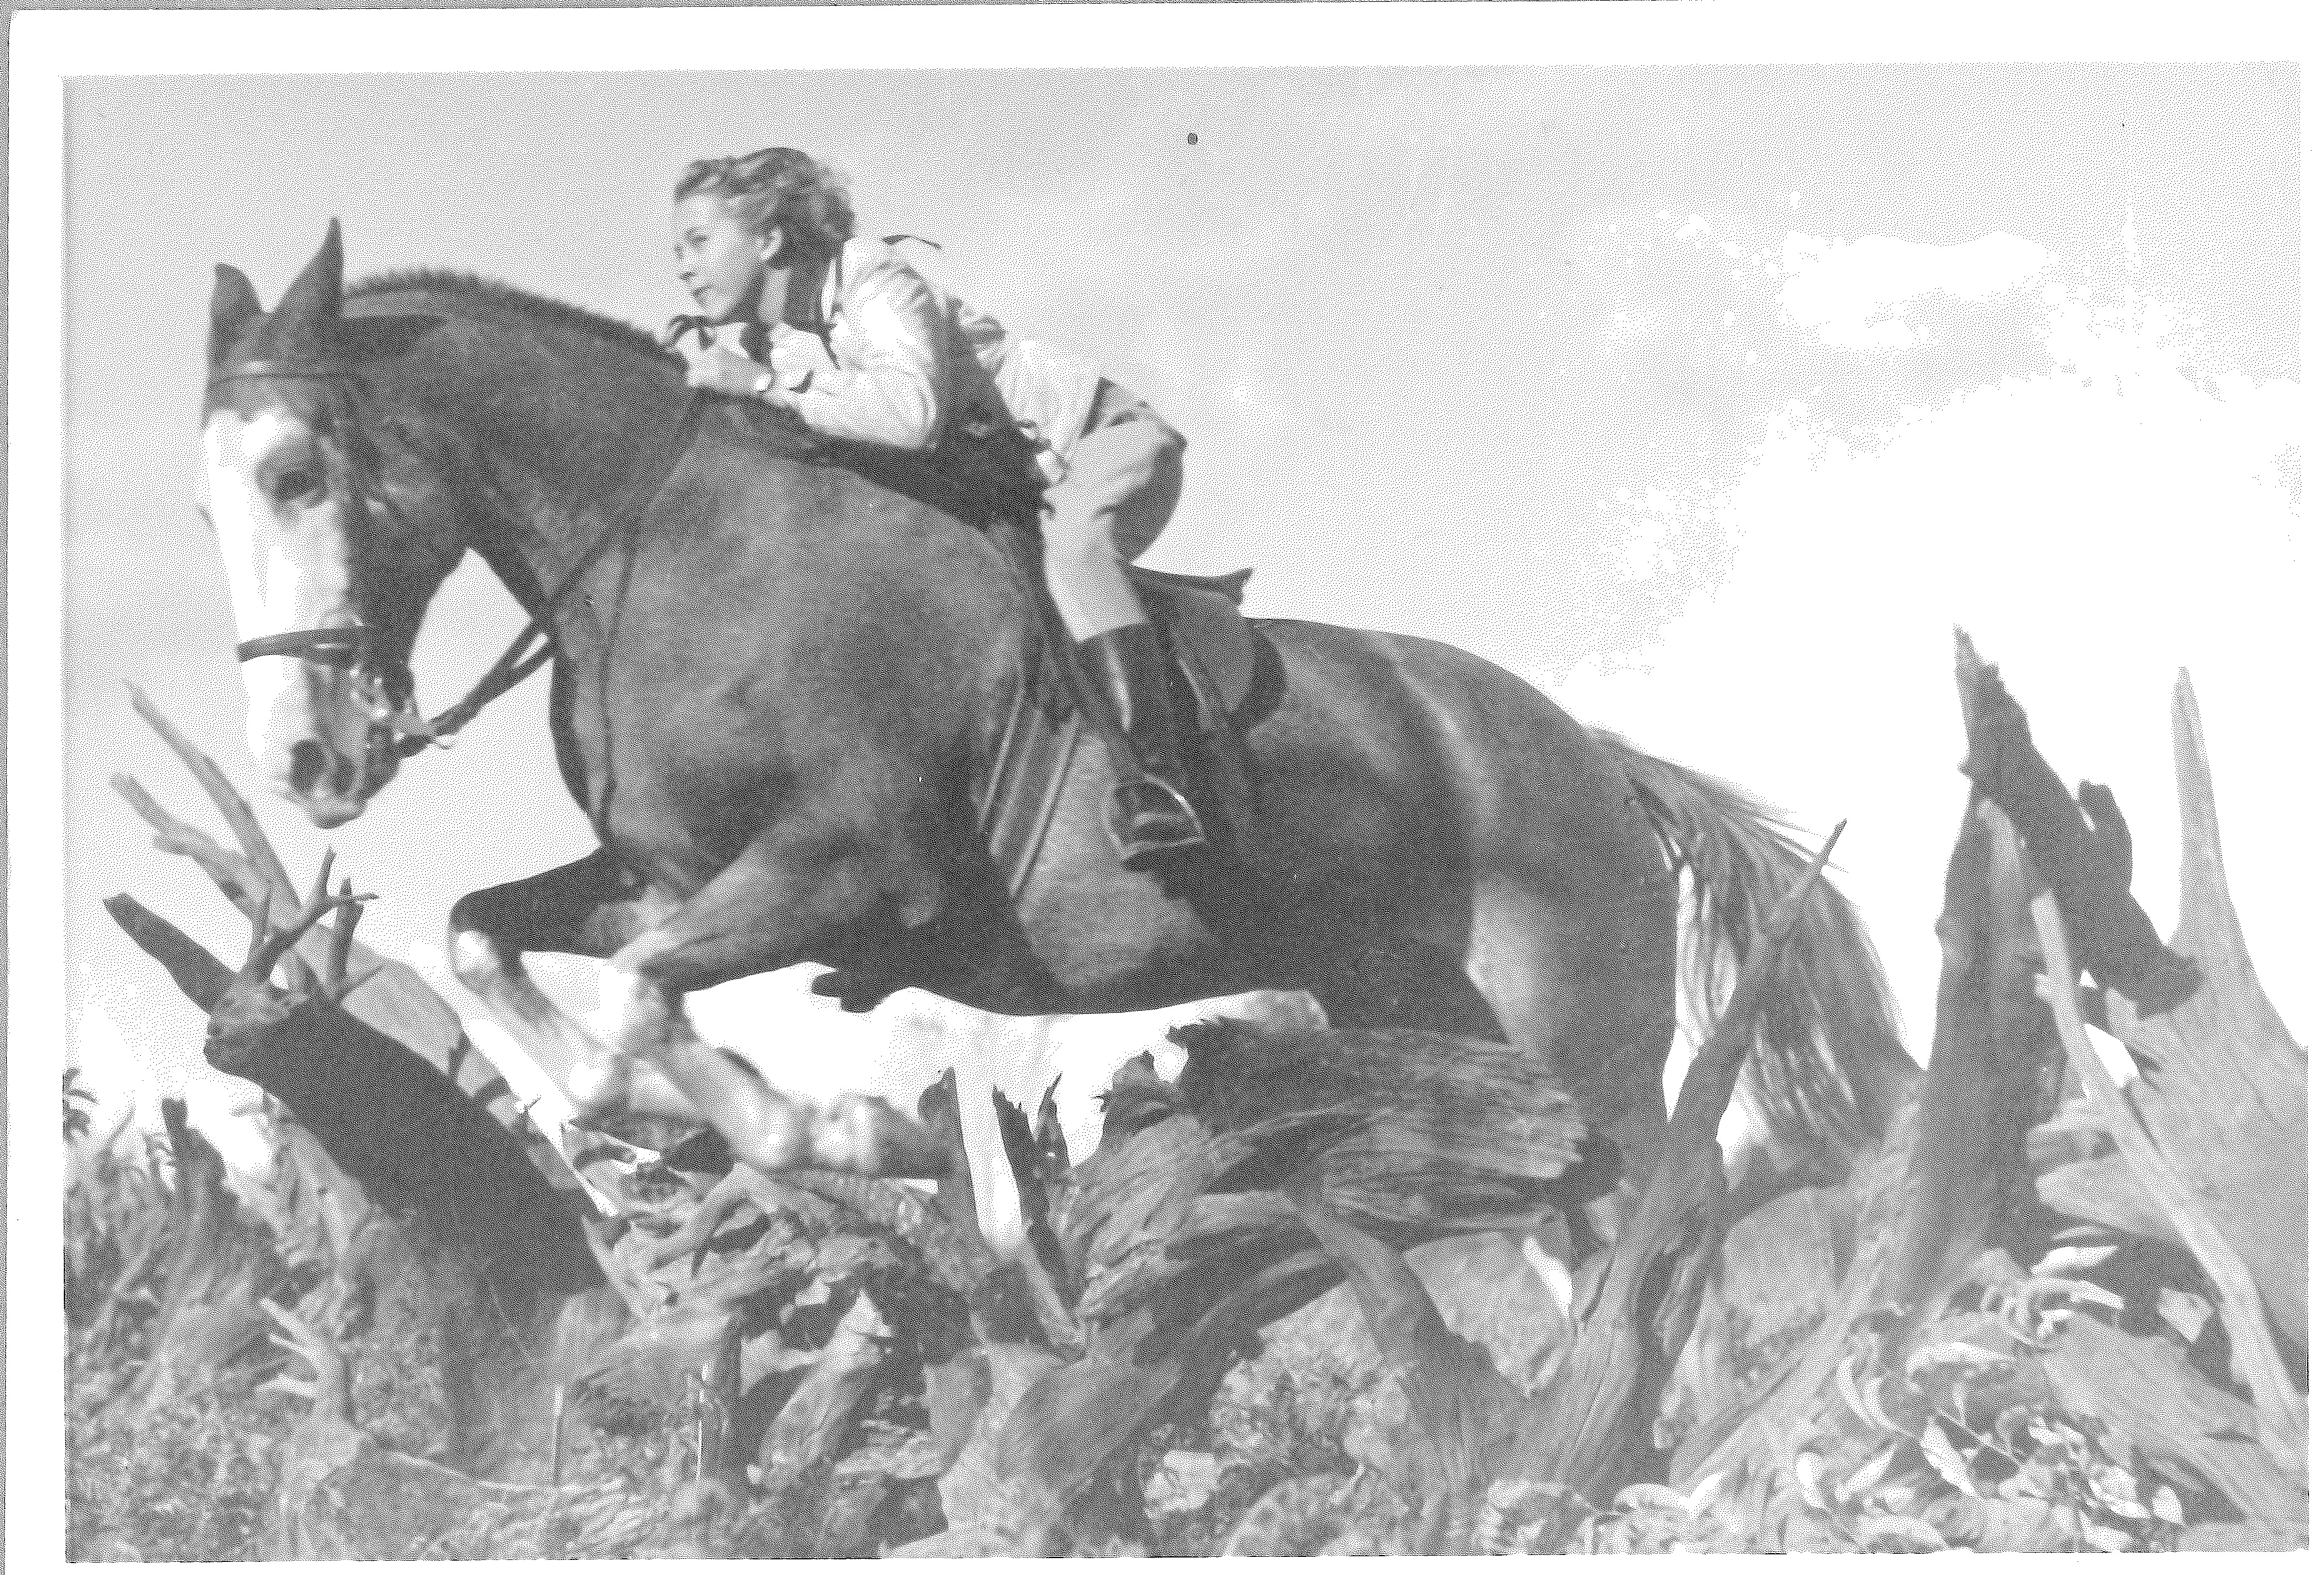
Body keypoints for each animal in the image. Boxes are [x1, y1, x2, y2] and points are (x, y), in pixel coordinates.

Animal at [198, 223, 1913, 1221]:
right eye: (210, 501)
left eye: (295, 471)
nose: (302, 756)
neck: (675, 547)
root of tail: (1591, 757)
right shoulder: (676, 877)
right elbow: (495, 936)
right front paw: (641, 1138)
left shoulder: (849, 871)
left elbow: (636, 1003)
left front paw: (838, 1132)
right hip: (1438, 1029)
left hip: (1581, 1034)